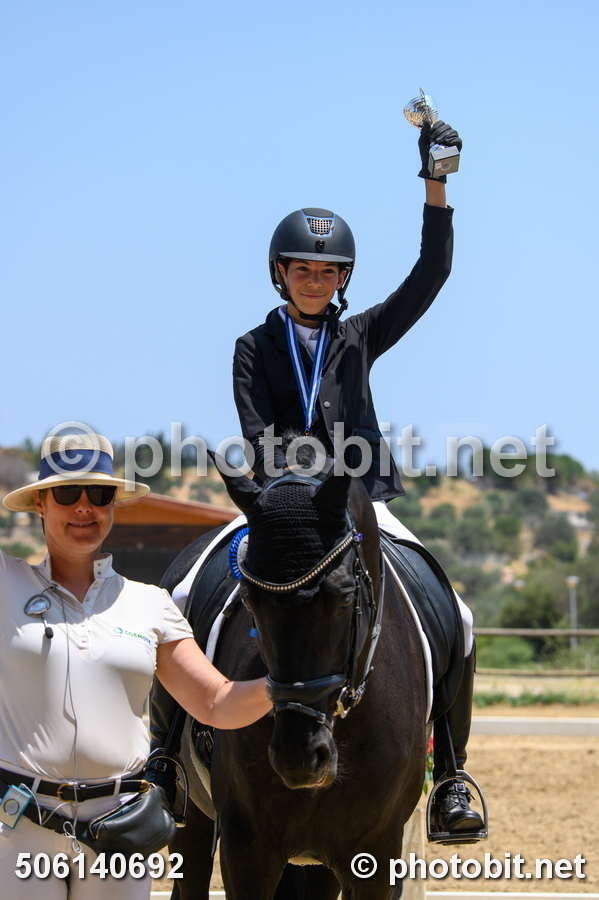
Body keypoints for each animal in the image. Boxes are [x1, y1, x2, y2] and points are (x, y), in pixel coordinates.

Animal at [156, 460, 432, 899]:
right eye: (250, 599)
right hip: (192, 818)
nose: (298, 757)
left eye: (344, 596)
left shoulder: (377, 850)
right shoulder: (247, 848)